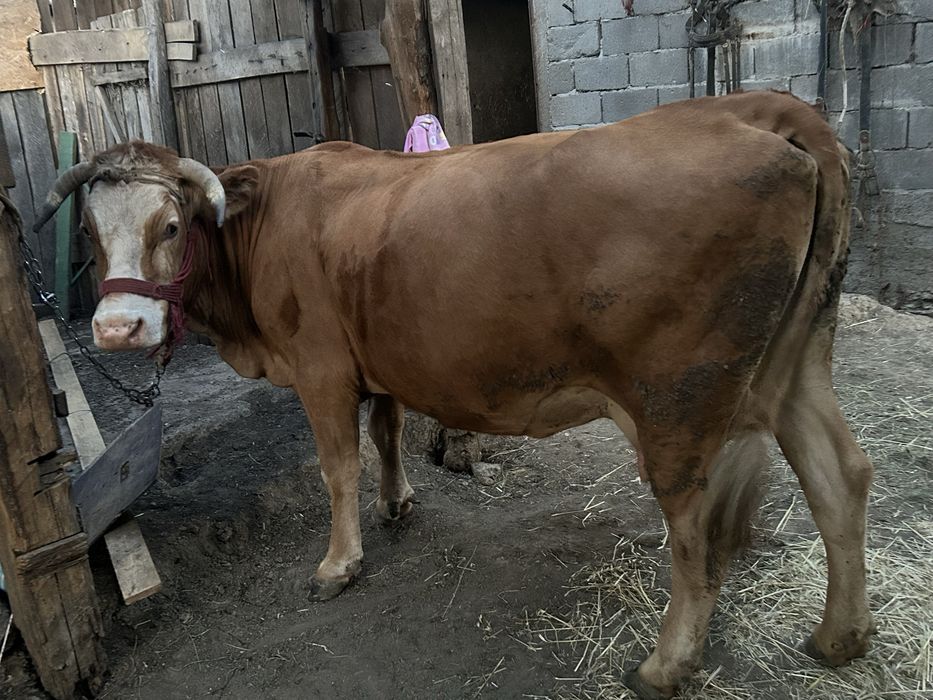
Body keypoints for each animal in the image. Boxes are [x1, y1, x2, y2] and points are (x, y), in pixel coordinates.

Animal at [35, 91, 874, 698]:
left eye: (172, 224)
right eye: (90, 237)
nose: (116, 327)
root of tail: (747, 107)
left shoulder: (319, 368)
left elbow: (336, 467)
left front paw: (338, 563)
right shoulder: (377, 359)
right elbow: (385, 433)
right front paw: (397, 502)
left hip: (679, 398)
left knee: (695, 527)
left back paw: (664, 666)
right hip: (798, 361)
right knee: (840, 477)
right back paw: (840, 636)